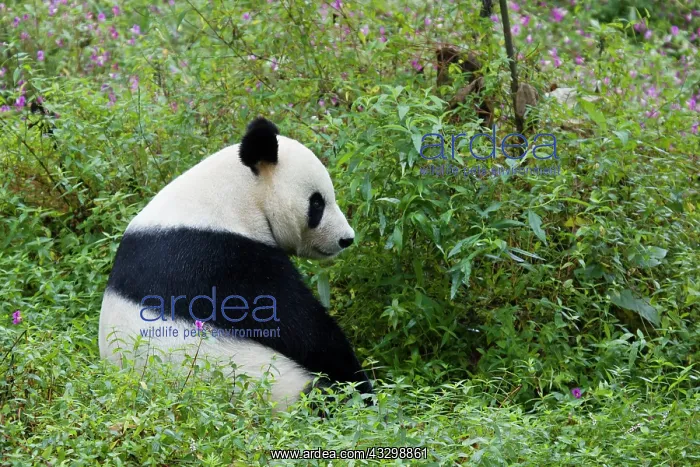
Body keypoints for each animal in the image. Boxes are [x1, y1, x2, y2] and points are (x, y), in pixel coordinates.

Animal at [98, 117, 373, 410]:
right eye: (317, 203)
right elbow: (289, 321)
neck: (236, 196)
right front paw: (359, 383)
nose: (346, 238)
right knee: (315, 394)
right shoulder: (218, 258)